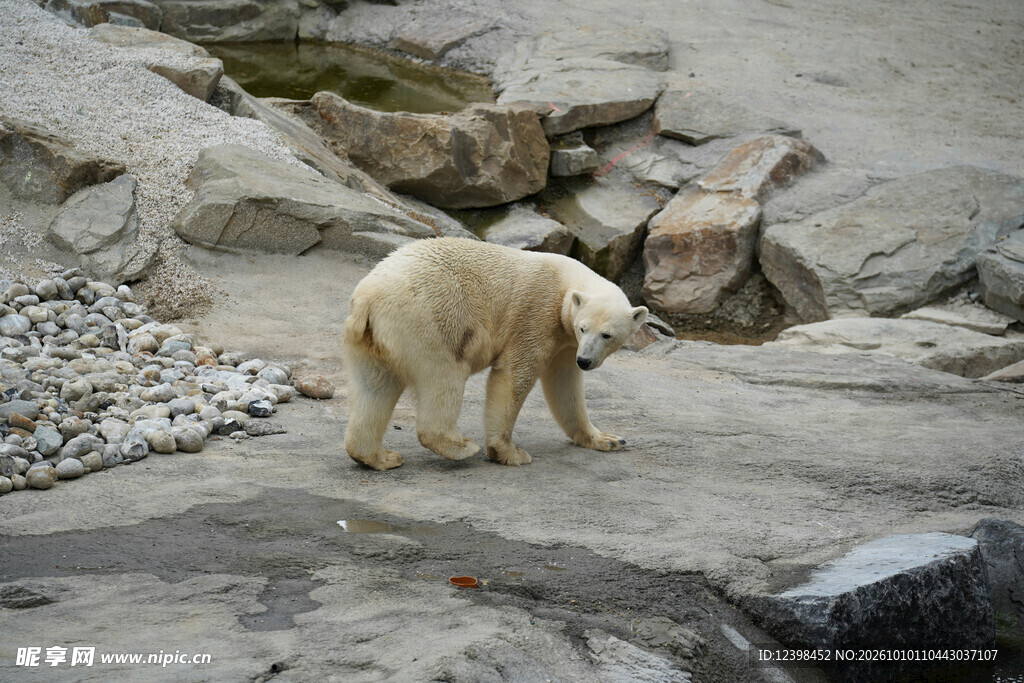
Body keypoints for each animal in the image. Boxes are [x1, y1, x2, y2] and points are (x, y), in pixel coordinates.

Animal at [342, 237, 648, 470]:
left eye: (607, 335)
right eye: (584, 328)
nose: (585, 361)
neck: (565, 282)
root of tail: (368, 299)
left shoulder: (567, 343)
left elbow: (564, 383)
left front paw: (608, 439)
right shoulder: (535, 314)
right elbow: (515, 374)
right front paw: (510, 452)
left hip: (371, 340)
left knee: (375, 387)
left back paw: (379, 457)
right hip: (432, 320)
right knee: (444, 377)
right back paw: (461, 446)